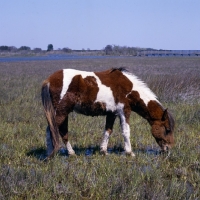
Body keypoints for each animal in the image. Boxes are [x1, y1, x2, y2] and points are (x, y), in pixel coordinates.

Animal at [41, 67, 174, 158]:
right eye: (167, 129)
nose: (168, 149)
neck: (130, 89)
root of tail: (49, 80)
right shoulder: (124, 111)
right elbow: (126, 132)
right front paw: (129, 152)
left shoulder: (112, 114)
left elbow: (108, 131)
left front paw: (103, 151)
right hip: (62, 112)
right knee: (53, 130)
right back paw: (60, 153)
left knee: (55, 130)